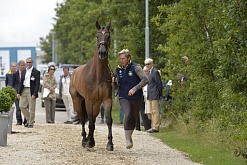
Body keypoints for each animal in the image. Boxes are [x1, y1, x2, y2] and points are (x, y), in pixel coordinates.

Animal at [69, 20, 114, 151]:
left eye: (108, 36)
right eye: (97, 36)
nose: (102, 52)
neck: (98, 75)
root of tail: (74, 72)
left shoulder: (107, 99)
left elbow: (108, 120)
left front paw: (110, 144)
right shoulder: (88, 100)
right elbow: (89, 122)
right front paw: (89, 142)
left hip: (97, 104)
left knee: (92, 119)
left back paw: (90, 139)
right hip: (78, 101)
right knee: (83, 119)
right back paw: (85, 140)